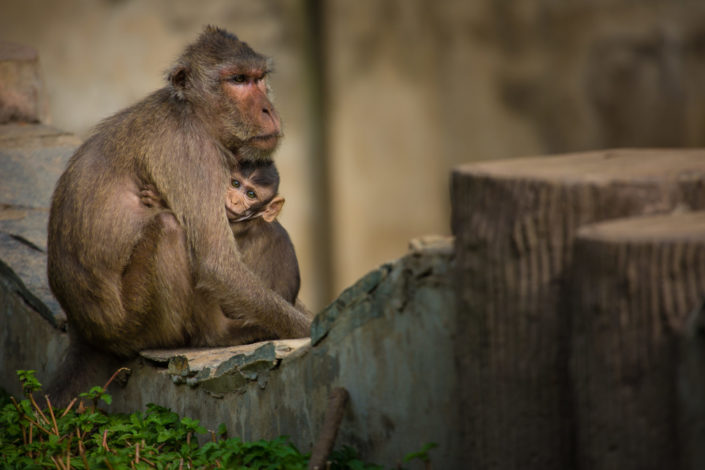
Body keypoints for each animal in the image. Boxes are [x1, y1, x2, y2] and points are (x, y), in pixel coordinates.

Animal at [48, 25, 310, 400]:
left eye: (259, 78)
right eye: (238, 80)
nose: (267, 110)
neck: (194, 112)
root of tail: (84, 333)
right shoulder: (191, 150)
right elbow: (216, 264)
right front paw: (308, 327)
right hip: (134, 326)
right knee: (170, 228)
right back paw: (219, 335)